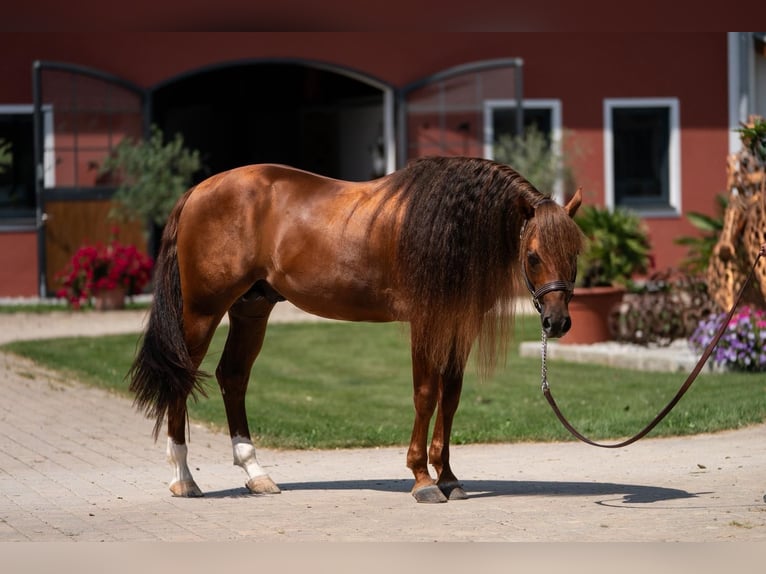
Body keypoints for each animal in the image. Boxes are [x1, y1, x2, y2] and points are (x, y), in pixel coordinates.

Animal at [129, 156, 584, 503]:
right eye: (533, 255)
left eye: (576, 252)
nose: (557, 322)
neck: (452, 227)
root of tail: (197, 192)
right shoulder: (426, 322)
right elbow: (425, 395)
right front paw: (422, 479)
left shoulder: (459, 324)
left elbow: (451, 397)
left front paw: (449, 477)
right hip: (203, 311)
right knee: (182, 376)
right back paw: (184, 479)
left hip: (251, 309)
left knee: (233, 377)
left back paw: (256, 474)